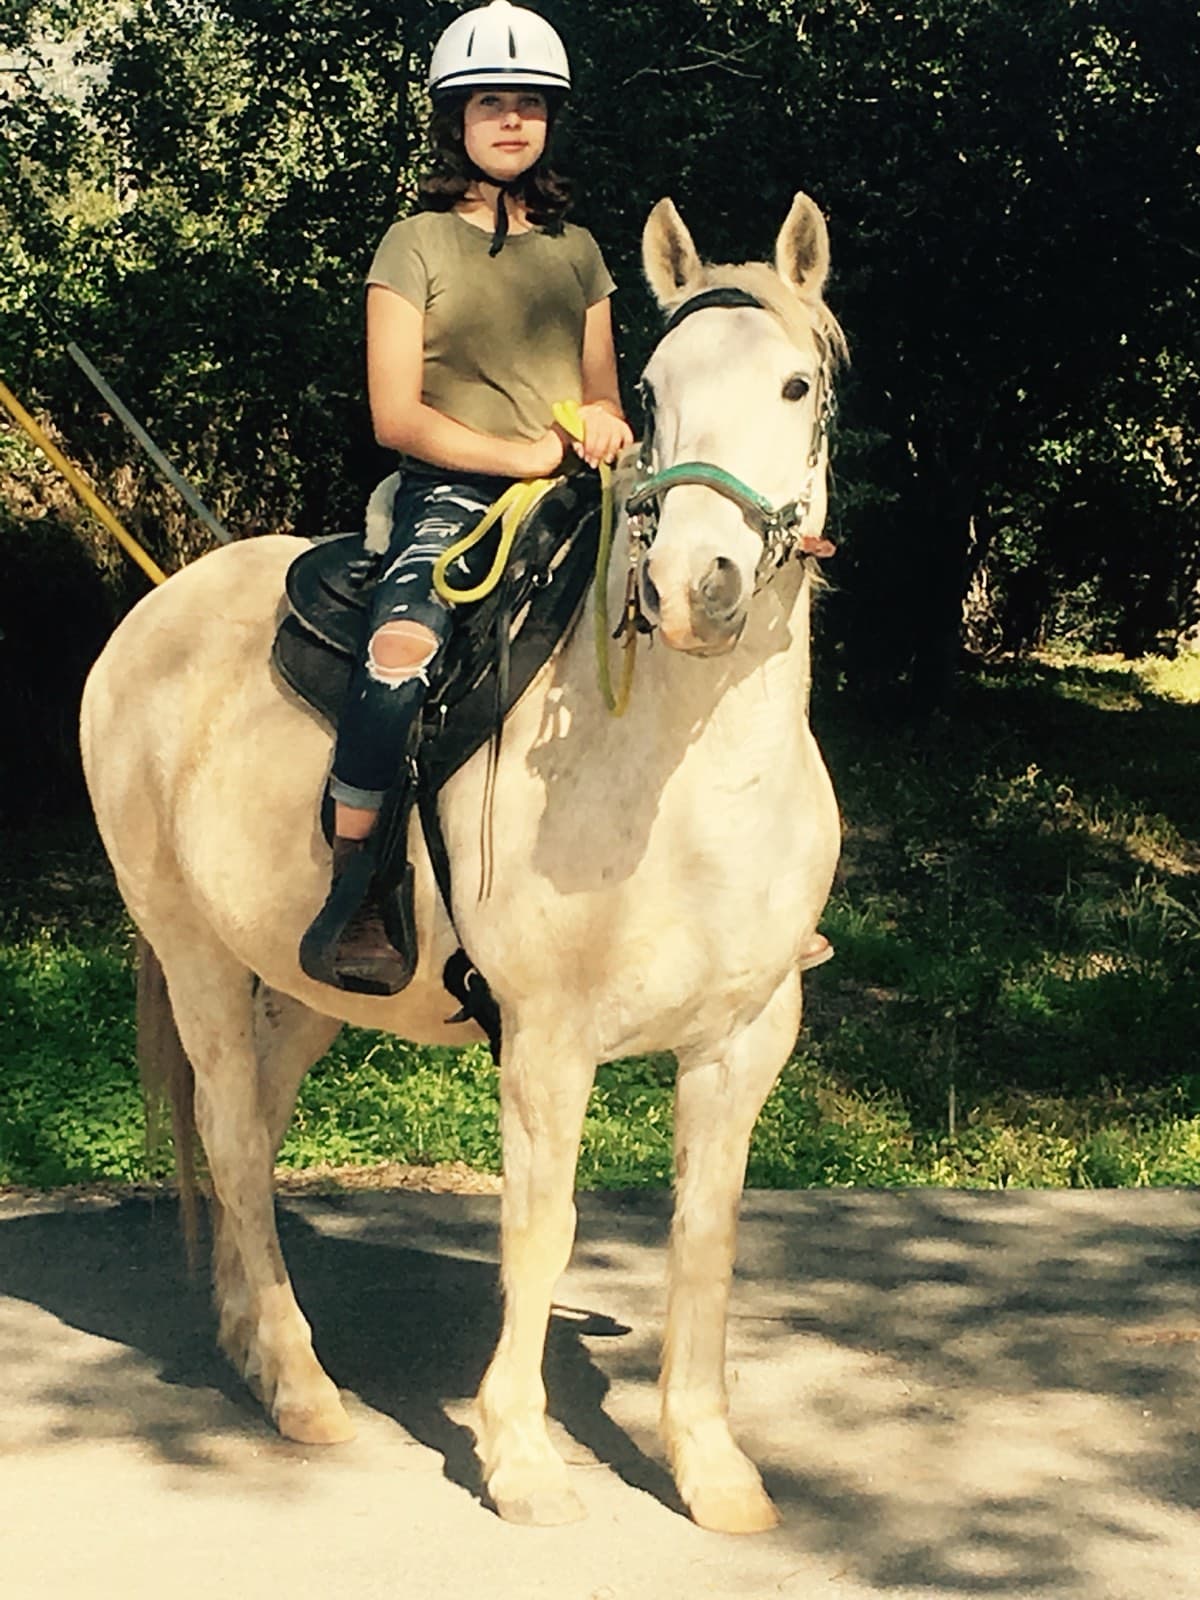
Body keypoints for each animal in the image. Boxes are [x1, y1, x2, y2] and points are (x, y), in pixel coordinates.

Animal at [80, 193, 845, 1535]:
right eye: (652, 394)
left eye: (797, 385)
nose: (693, 587)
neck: (685, 776)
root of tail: (151, 616)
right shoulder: (547, 1041)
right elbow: (542, 1227)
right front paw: (523, 1457)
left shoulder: (745, 1040)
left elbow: (705, 1232)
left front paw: (710, 1466)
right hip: (194, 956)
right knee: (231, 1131)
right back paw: (298, 1383)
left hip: (302, 980)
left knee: (255, 1125)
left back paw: (246, 1337)